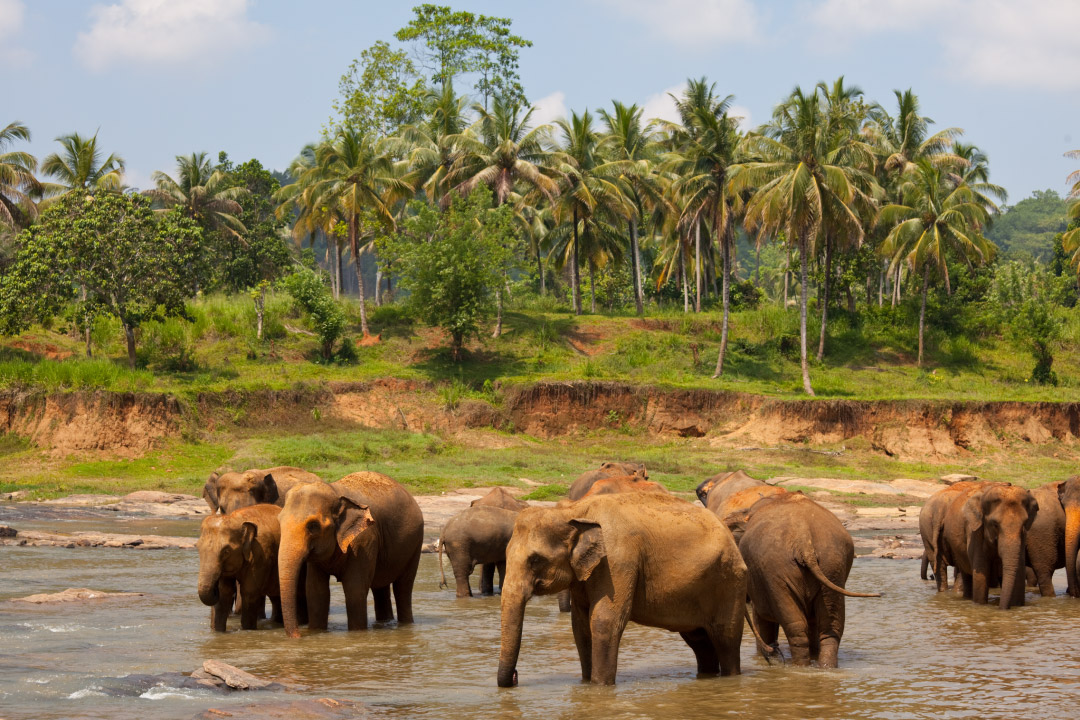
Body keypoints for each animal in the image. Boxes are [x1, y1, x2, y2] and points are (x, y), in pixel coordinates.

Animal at [195, 500, 282, 630]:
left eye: (226, 551)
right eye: (198, 548)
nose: (215, 587)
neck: (238, 519)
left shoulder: (260, 554)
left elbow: (249, 593)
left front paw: (248, 630)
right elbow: (224, 593)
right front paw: (217, 632)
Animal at [276, 472, 423, 634]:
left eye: (313, 526)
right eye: (279, 521)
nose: (298, 635)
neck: (334, 490)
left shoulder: (364, 540)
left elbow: (355, 590)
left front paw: (357, 634)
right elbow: (316, 592)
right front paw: (316, 632)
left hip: (415, 544)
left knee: (403, 588)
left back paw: (406, 625)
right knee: (380, 587)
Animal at [498, 496, 747, 686]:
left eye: (535, 560)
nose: (516, 677)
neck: (574, 510)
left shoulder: (618, 561)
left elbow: (604, 620)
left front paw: (599, 687)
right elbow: (580, 626)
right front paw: (585, 684)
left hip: (729, 582)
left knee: (726, 639)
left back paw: (730, 678)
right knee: (700, 641)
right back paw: (706, 676)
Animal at [730, 492, 881, 669]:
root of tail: (804, 542)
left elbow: (762, 618)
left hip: (776, 570)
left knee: (796, 627)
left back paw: (799, 667)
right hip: (832, 565)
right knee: (830, 627)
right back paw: (825, 667)